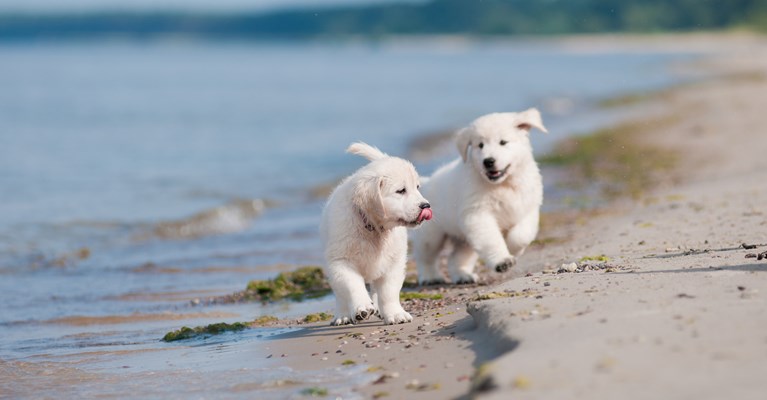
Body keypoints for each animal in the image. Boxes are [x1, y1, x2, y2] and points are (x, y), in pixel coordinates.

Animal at [320, 142, 436, 324]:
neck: (372, 227)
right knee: (340, 293)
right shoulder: (341, 261)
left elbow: (389, 292)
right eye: (401, 191)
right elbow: (352, 285)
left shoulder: (394, 262)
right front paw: (362, 307)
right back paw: (343, 315)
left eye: (417, 187)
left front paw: (395, 313)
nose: (426, 206)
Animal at [414, 108, 544, 284]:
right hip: (431, 234)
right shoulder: (478, 215)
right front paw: (502, 261)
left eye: (503, 142)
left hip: (465, 239)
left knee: (456, 258)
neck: (502, 185)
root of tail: (427, 182)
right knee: (425, 256)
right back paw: (430, 277)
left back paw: (463, 275)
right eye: (480, 145)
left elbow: (522, 235)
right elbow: (492, 239)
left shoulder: (528, 208)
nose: (488, 161)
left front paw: (513, 249)